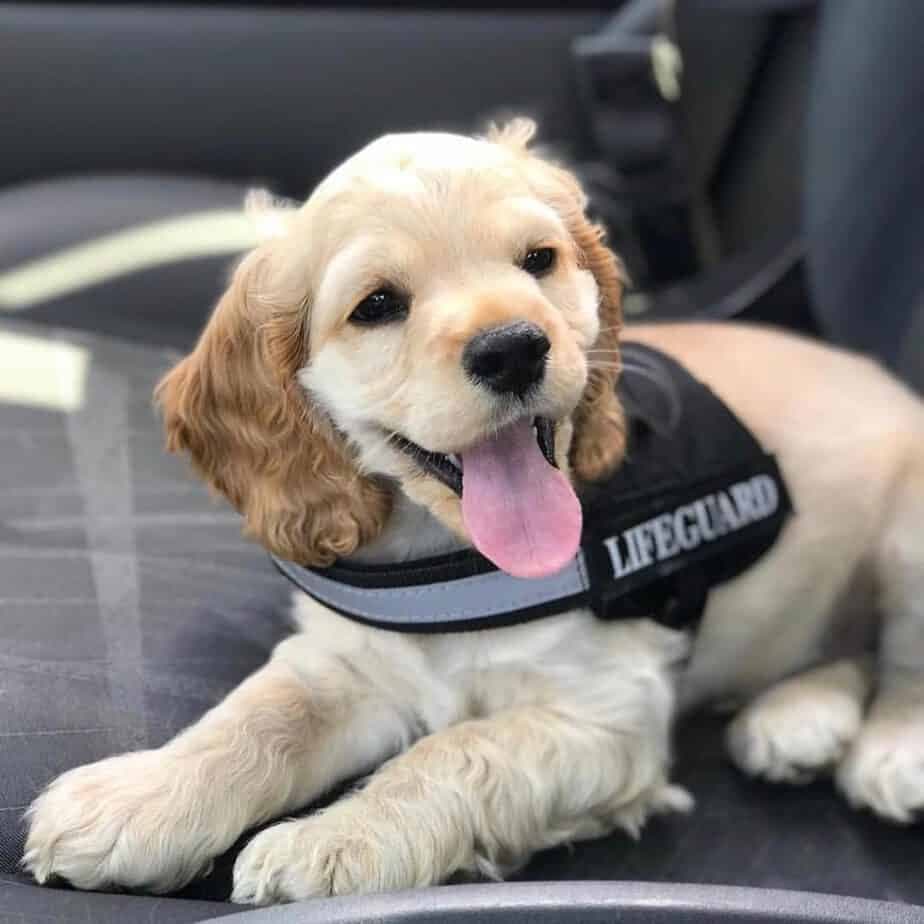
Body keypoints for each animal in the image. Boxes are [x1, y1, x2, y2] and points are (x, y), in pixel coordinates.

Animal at [19, 121, 924, 904]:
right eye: (377, 304)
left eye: (539, 260)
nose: (514, 348)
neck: (454, 556)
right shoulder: (347, 662)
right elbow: (257, 717)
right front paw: (138, 797)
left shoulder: (609, 714)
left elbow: (460, 750)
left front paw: (338, 839)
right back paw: (800, 717)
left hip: (906, 534)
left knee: (903, 656)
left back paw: (888, 749)